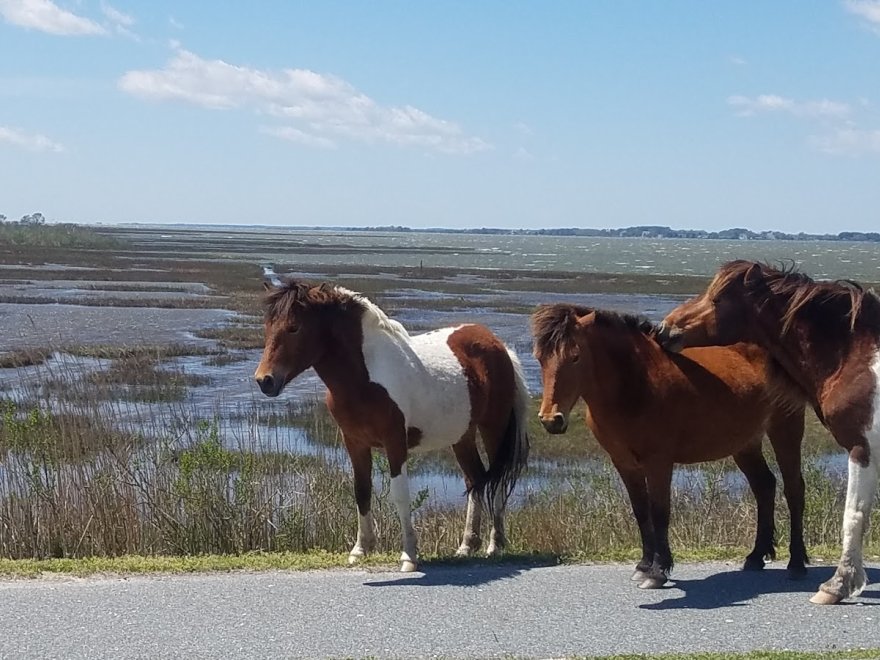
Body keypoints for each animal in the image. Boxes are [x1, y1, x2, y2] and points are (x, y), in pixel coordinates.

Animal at [253, 282, 528, 568]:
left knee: (497, 481)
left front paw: (409, 555)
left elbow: (400, 493)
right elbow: (362, 490)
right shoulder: (355, 442)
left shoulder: (395, 441)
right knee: (476, 479)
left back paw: (494, 545)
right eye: (268, 326)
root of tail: (499, 346)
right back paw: (466, 546)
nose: (264, 380)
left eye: (294, 327)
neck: (365, 377)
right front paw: (360, 549)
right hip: (462, 435)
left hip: (493, 428)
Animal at [528, 304, 804, 588]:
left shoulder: (658, 462)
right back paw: (756, 556)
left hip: (786, 429)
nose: (551, 420)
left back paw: (796, 563)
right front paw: (643, 565)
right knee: (764, 486)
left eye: (575, 357)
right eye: (539, 358)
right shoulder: (624, 463)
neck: (637, 383)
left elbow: (659, 511)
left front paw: (658, 571)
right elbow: (641, 511)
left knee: (794, 490)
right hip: (745, 445)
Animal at [656, 258, 880, 604]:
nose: (665, 330)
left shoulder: (861, 449)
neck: (859, 359)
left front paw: (838, 585)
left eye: (717, 299)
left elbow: (853, 516)